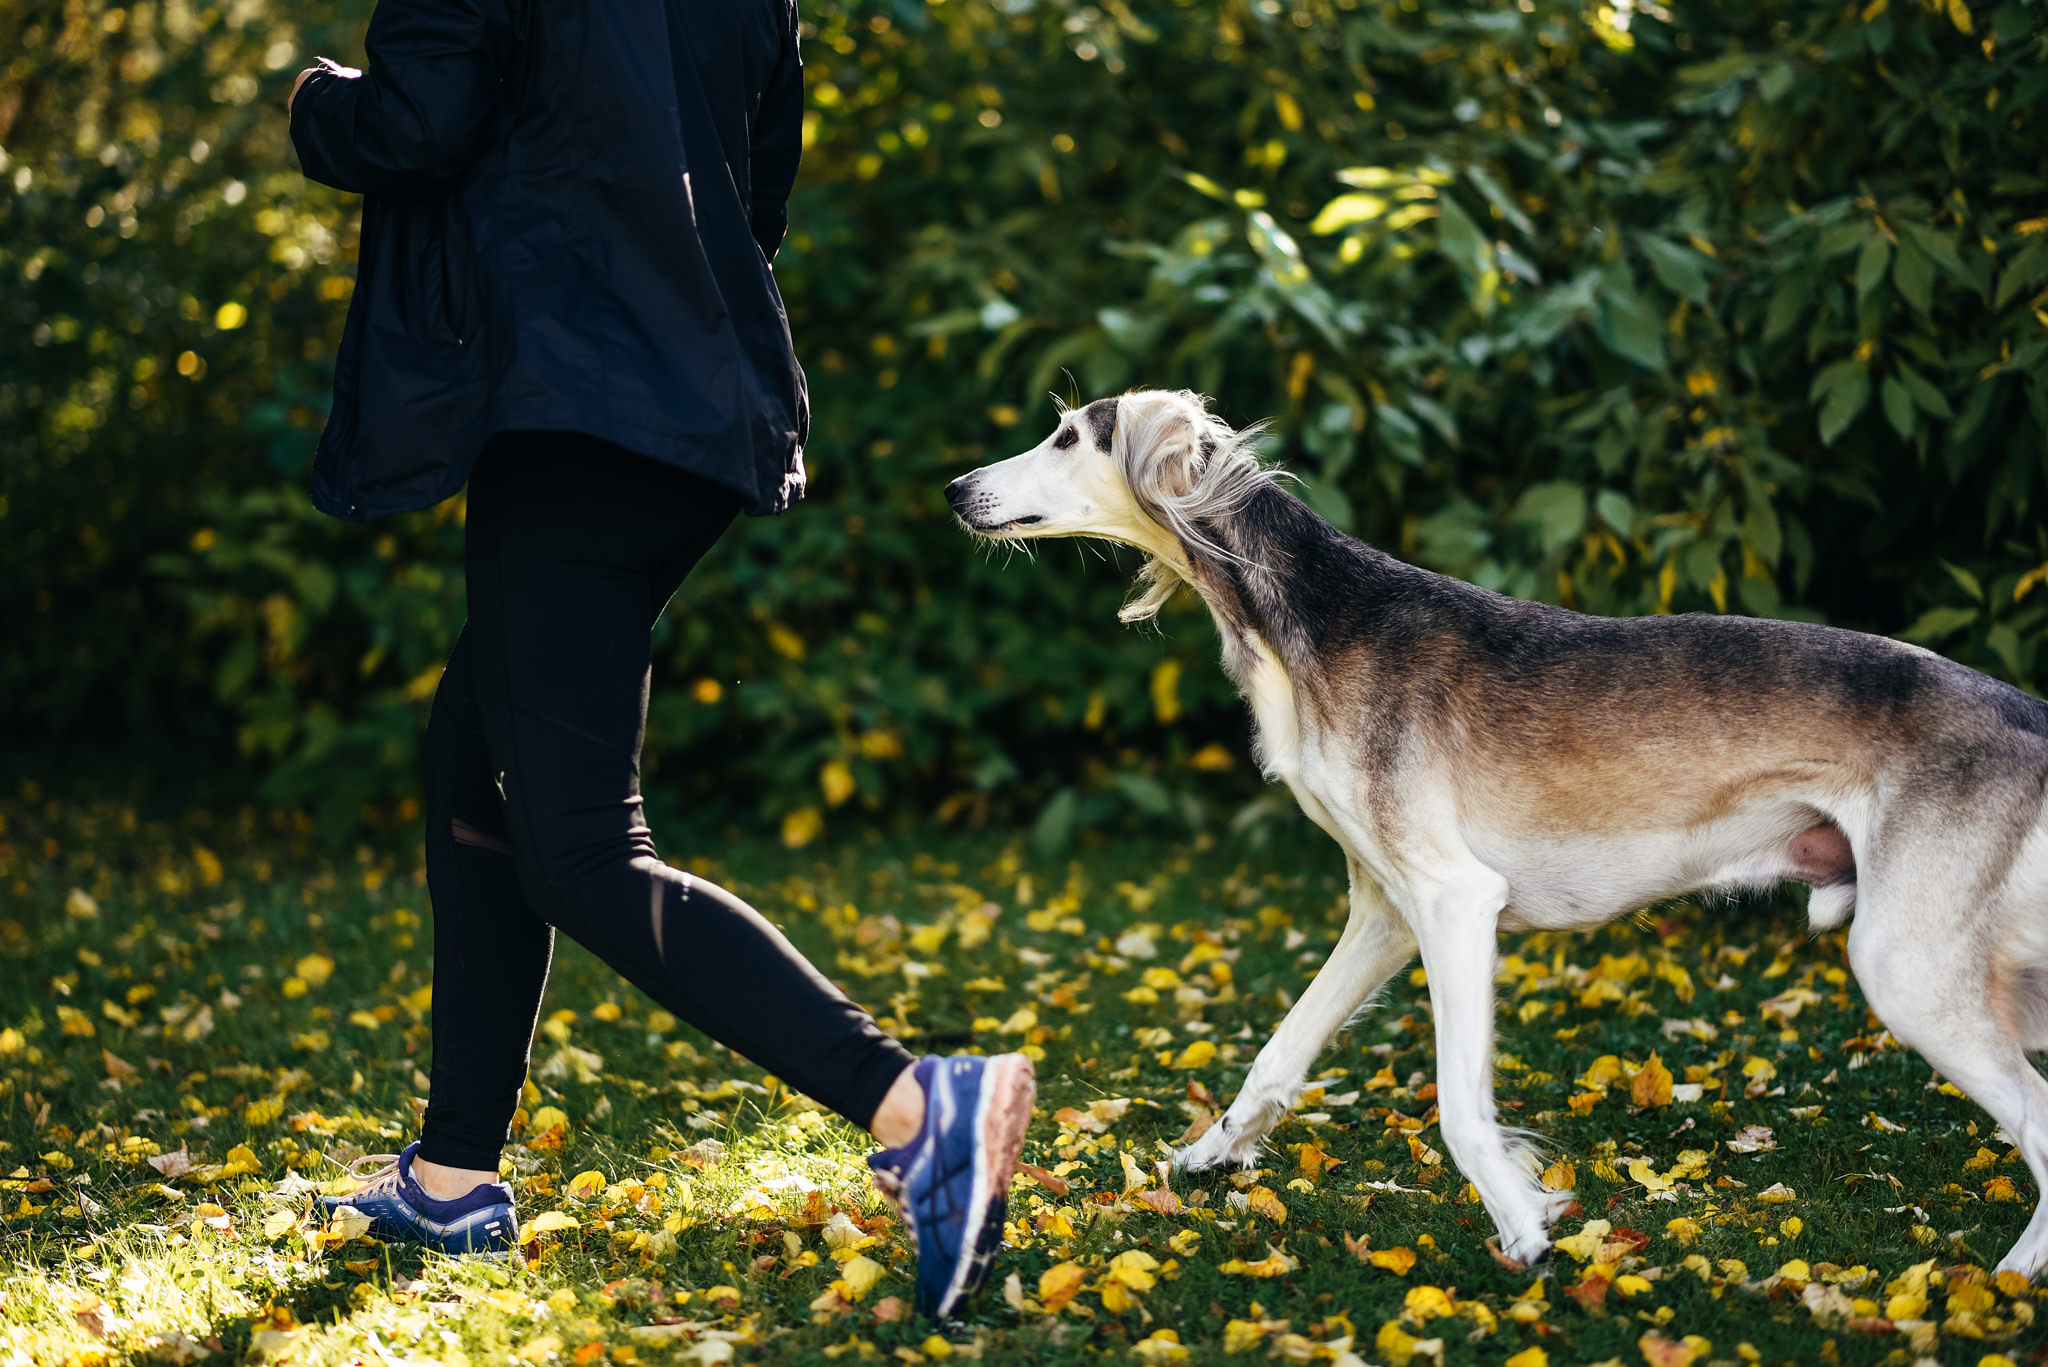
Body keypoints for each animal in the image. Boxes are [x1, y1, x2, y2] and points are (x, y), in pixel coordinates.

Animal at [946, 387, 2048, 1287]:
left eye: (1067, 436)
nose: (957, 489)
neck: (1311, 619)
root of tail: (2020, 707)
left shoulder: (1453, 903)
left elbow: (1458, 1108)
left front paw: (1525, 1222)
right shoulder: (1384, 910)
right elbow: (1275, 1056)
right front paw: (1209, 1153)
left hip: (1904, 963)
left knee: (2036, 1113)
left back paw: (2013, 1275)